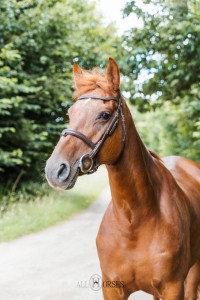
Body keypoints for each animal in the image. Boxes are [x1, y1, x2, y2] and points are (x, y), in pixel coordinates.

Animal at [45, 57, 200, 298]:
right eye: (70, 113)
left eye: (104, 115)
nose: (55, 170)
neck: (133, 221)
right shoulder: (112, 288)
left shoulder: (173, 287)